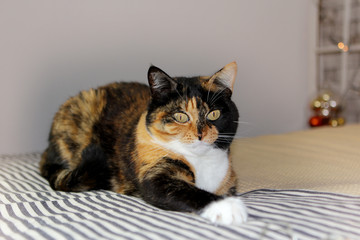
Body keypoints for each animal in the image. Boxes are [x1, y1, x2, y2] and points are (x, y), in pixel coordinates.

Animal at [39, 61, 248, 225]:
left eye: (214, 114)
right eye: (180, 116)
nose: (200, 135)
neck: (202, 162)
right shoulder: (155, 175)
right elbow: (187, 190)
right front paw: (227, 207)